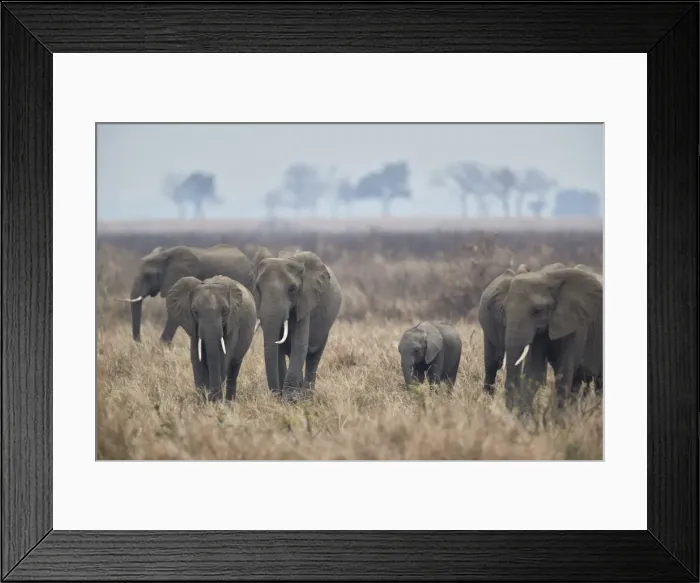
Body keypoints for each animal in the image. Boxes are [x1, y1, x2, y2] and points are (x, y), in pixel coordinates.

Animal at [251, 248, 342, 398]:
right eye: (258, 288)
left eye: (292, 289)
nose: (275, 393)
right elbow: (278, 348)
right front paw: (283, 397)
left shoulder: (306, 300)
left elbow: (299, 344)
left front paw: (290, 399)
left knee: (313, 355)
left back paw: (307, 396)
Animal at [502, 266, 603, 413]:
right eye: (504, 309)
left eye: (537, 311)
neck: (547, 277)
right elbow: (534, 372)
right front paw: (526, 417)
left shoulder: (576, 325)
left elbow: (564, 373)